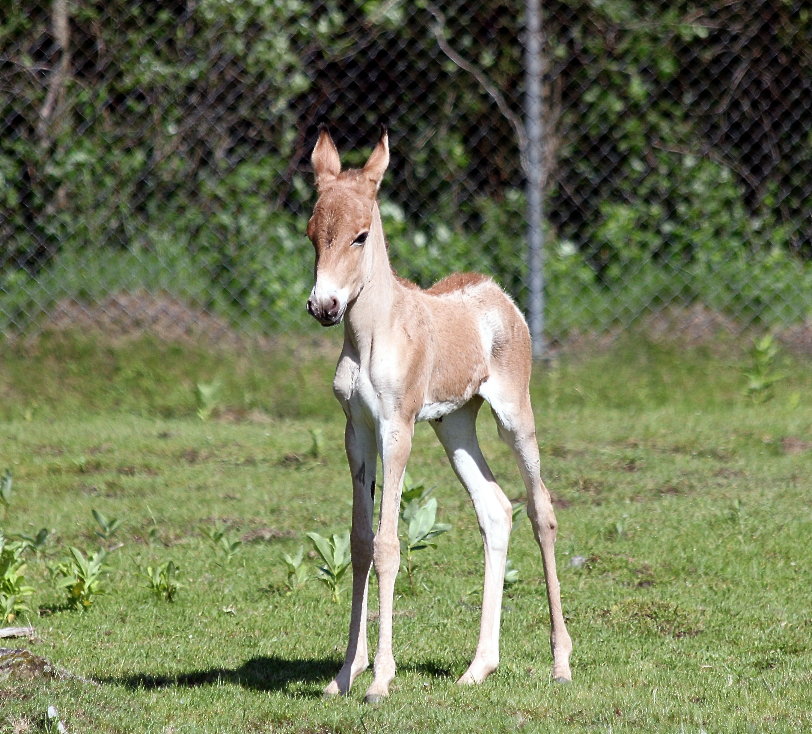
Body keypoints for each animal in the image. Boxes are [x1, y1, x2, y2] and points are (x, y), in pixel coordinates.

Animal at [304, 125, 572, 700]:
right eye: (313, 232)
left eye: (361, 235)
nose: (324, 306)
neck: (370, 334)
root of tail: (499, 294)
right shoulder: (356, 433)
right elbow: (360, 542)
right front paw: (345, 674)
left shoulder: (397, 428)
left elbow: (388, 544)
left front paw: (380, 679)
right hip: (456, 424)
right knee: (496, 508)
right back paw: (479, 667)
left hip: (514, 415)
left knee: (540, 509)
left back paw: (561, 662)